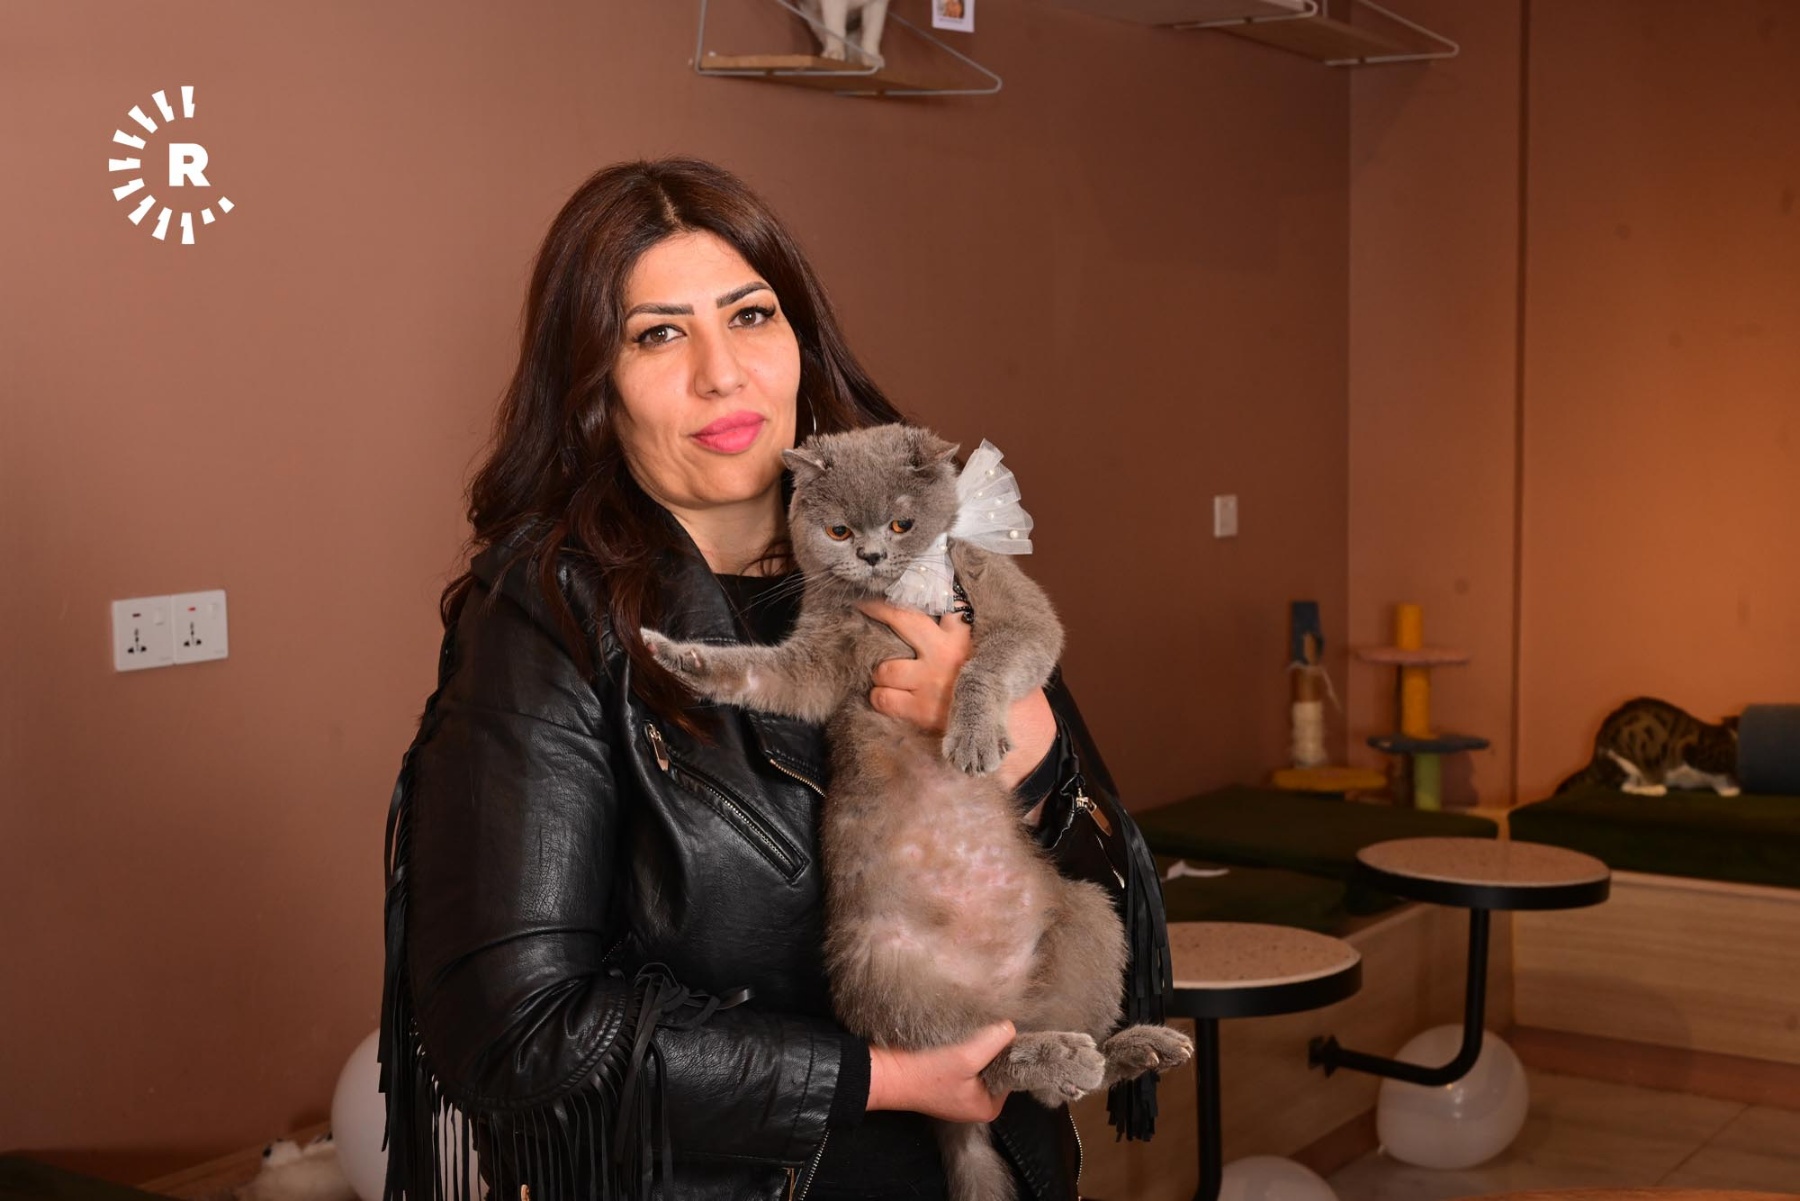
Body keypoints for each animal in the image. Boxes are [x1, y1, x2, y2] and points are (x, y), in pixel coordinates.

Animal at [642, 424, 1191, 1201]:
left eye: (902, 524)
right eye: (839, 530)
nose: (872, 555)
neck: (901, 597)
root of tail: (999, 1000)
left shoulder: (1014, 604)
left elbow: (991, 659)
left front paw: (972, 734)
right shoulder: (820, 662)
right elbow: (758, 673)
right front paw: (674, 656)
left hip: (1092, 915)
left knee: (1040, 1076)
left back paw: (1136, 1046)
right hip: (884, 987)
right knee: (986, 1073)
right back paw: (1059, 1056)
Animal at [1557, 696, 1741, 797]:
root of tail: (1593, 760)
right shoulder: (1693, 750)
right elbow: (1719, 774)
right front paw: (1729, 790)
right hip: (1628, 760)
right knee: (1627, 788)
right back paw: (1655, 789)